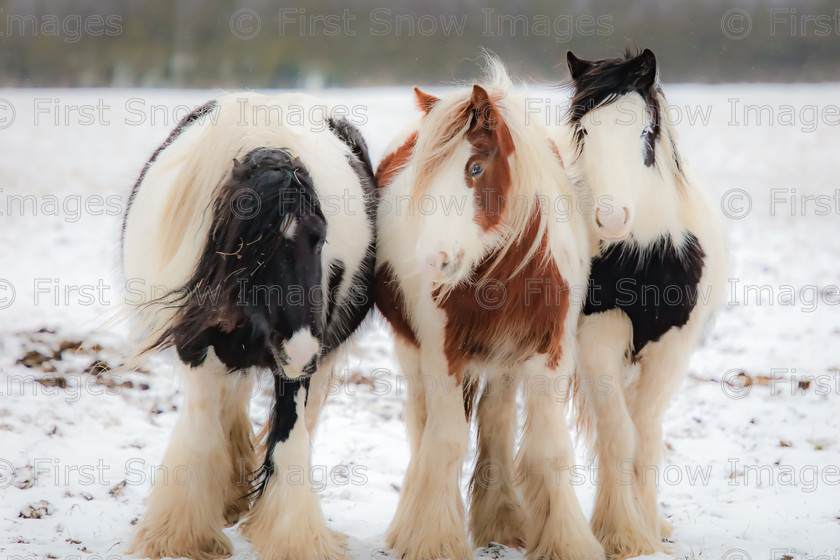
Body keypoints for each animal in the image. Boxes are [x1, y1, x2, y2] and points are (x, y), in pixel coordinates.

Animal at [121, 93, 378, 560]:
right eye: (250, 250)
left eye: (319, 237)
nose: (300, 351)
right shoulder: (195, 346)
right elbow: (203, 425)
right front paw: (181, 535)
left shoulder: (300, 360)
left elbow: (290, 434)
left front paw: (293, 537)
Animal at [374, 58, 604, 560]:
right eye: (424, 175)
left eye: (476, 167)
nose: (433, 260)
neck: (504, 273)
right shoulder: (442, 355)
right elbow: (444, 441)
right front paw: (434, 540)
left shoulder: (550, 353)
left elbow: (550, 448)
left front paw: (566, 540)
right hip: (413, 352)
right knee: (423, 428)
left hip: (503, 363)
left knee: (496, 421)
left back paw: (502, 520)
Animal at [552, 50, 728, 556]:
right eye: (584, 132)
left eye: (646, 133)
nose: (611, 218)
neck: (642, 260)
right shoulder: (596, 344)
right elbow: (619, 435)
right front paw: (623, 534)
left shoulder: (672, 351)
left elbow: (646, 438)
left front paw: (648, 527)